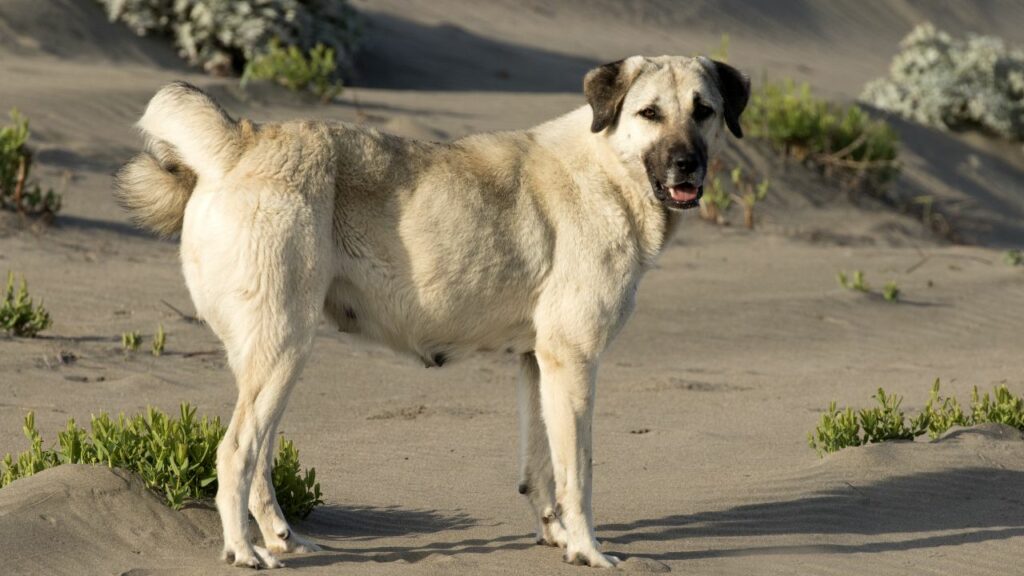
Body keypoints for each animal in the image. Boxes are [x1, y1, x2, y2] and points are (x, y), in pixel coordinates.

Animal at [114, 56, 753, 565]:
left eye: (703, 111)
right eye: (649, 113)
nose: (687, 165)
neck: (609, 167)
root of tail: (243, 140)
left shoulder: (538, 363)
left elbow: (542, 468)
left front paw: (558, 540)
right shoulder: (574, 361)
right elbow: (580, 474)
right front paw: (590, 551)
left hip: (272, 360)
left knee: (259, 460)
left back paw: (281, 539)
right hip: (284, 350)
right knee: (235, 454)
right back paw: (244, 551)